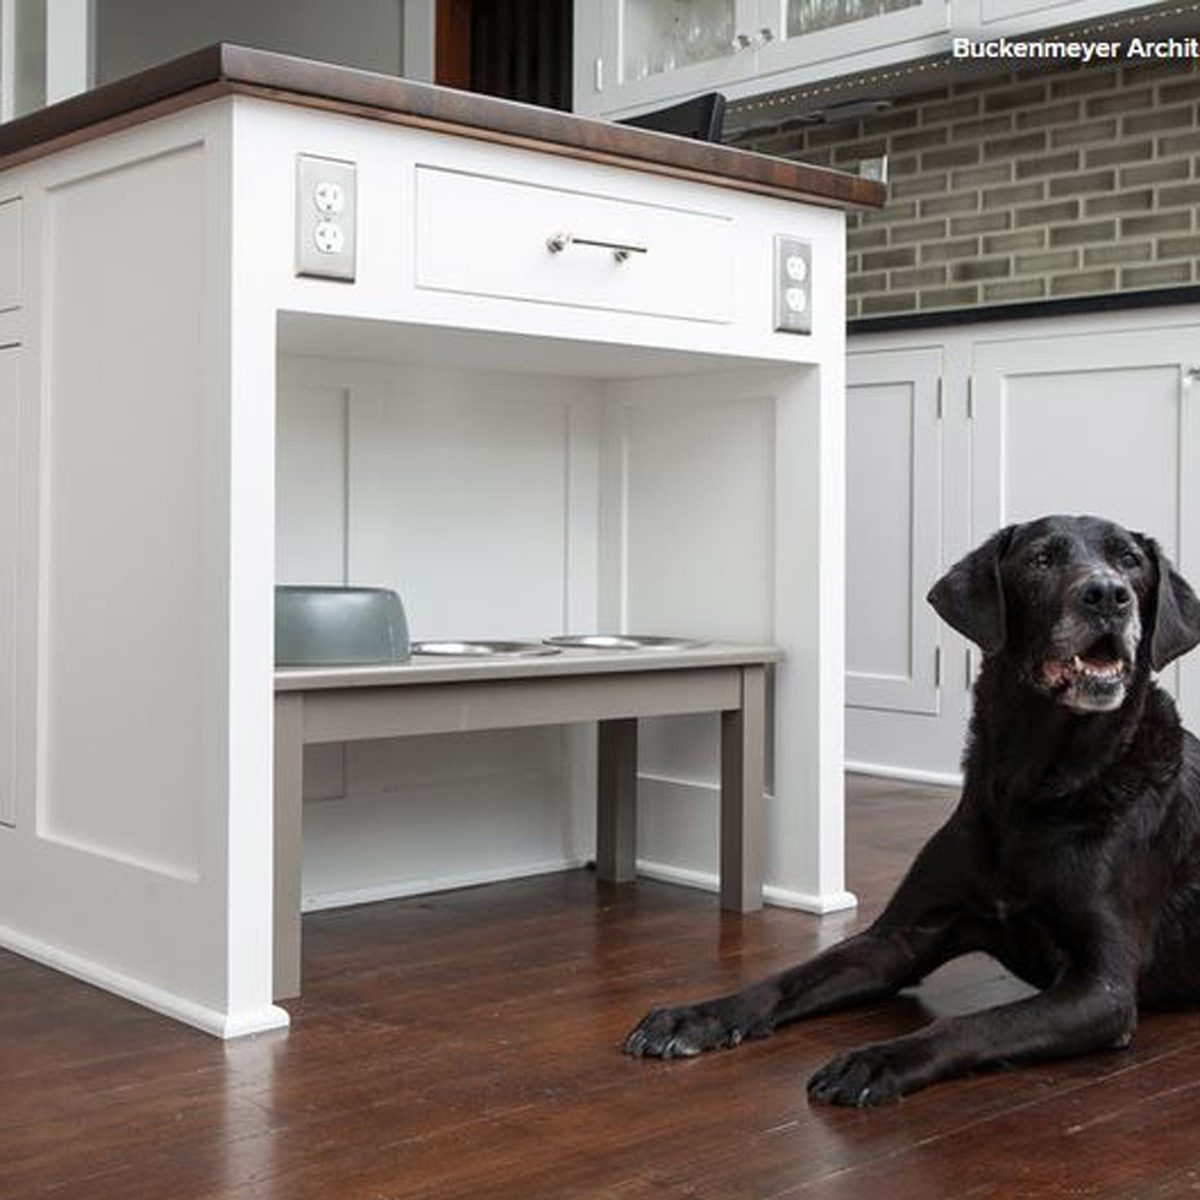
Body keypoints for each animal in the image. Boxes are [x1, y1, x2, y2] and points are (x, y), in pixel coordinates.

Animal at [624, 516, 1200, 1104]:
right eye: (1041, 559)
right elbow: (788, 977)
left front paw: (876, 1059)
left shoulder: (1103, 989)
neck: (1036, 786)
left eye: (1130, 560)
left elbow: (976, 1022)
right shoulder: (897, 940)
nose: (1108, 595)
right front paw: (697, 1016)